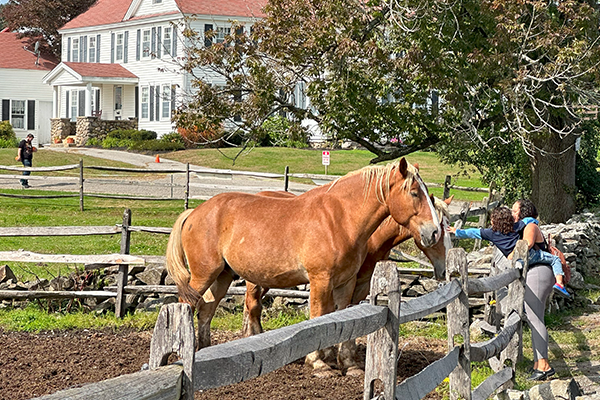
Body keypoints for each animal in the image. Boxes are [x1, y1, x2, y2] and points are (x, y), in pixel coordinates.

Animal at [241, 195, 452, 376]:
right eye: (438, 231)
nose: (445, 270)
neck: (370, 236)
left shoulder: (359, 286)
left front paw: (339, 358)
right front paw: (327, 358)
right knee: (253, 303)